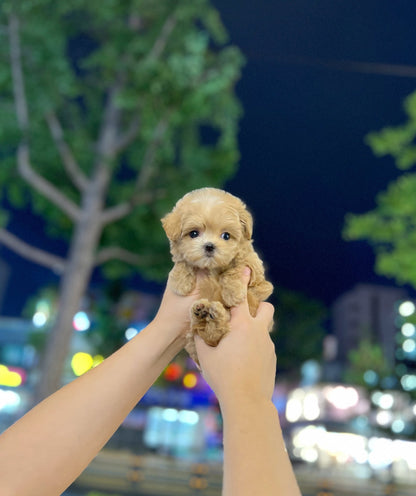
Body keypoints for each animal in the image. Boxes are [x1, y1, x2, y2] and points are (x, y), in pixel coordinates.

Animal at [161, 188, 274, 362]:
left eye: (226, 236)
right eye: (194, 233)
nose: (209, 246)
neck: (211, 268)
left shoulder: (255, 272)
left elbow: (235, 268)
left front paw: (233, 293)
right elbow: (183, 262)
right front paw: (180, 281)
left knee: (217, 333)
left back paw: (213, 314)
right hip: (192, 337)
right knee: (207, 333)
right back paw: (201, 313)